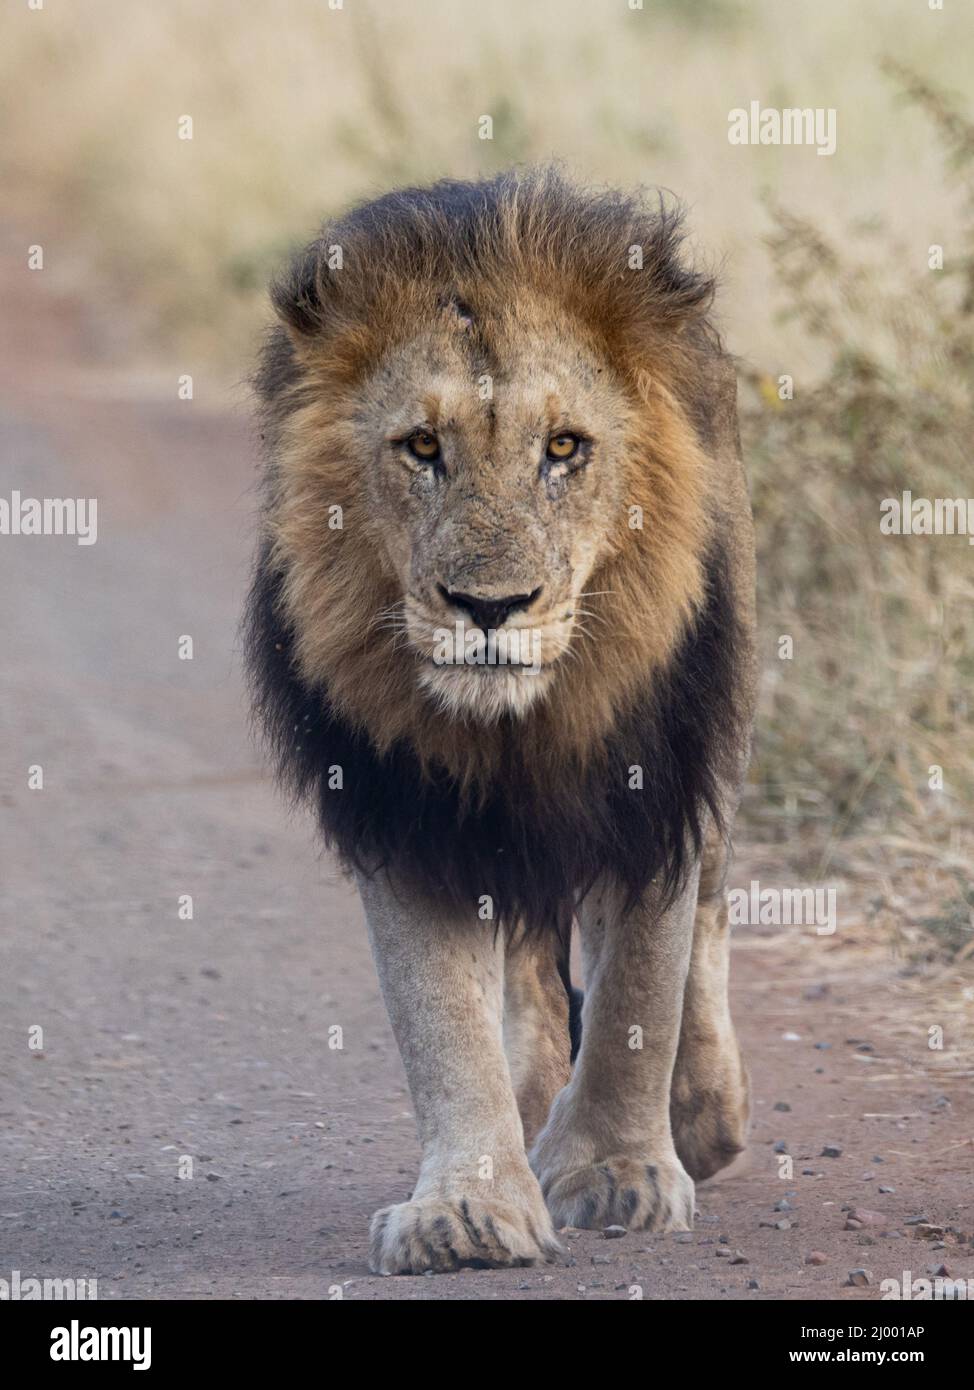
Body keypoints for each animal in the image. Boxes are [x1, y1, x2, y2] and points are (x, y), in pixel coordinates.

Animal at [241, 168, 750, 1273]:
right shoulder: (402, 807)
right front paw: (467, 1208)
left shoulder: (653, 773)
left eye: (564, 449)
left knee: (708, 904)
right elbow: (440, 1018)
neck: (517, 726)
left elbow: (641, 985)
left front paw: (617, 1170)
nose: (488, 606)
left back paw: (701, 1113)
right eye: (421, 448)